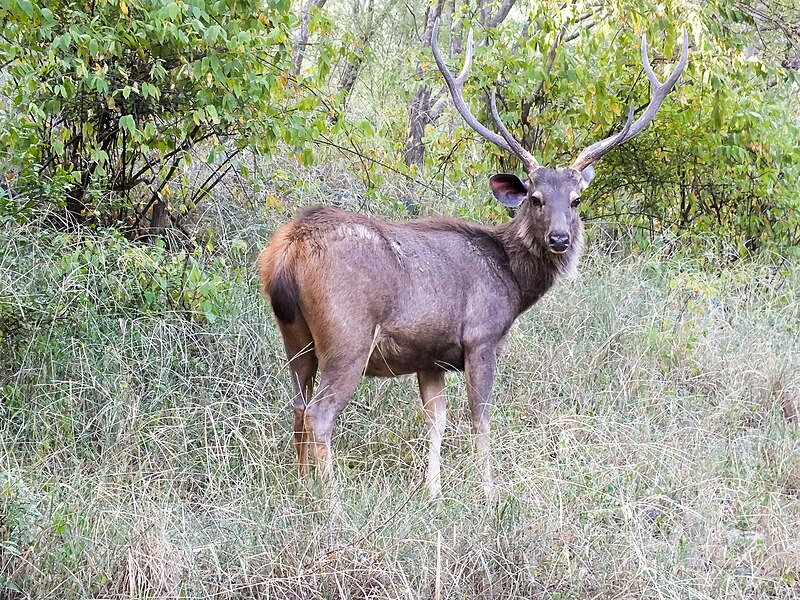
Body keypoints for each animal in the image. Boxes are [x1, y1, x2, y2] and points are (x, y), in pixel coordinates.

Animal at [258, 19, 688, 496]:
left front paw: (433, 491)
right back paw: (331, 501)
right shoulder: (481, 337)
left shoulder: (430, 356)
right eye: (535, 198)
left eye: (576, 200)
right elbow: (480, 420)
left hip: (294, 336)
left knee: (297, 406)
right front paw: (488, 492)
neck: (512, 283)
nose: (559, 238)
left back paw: (301, 488)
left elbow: (437, 420)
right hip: (347, 335)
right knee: (319, 414)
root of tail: (287, 251)